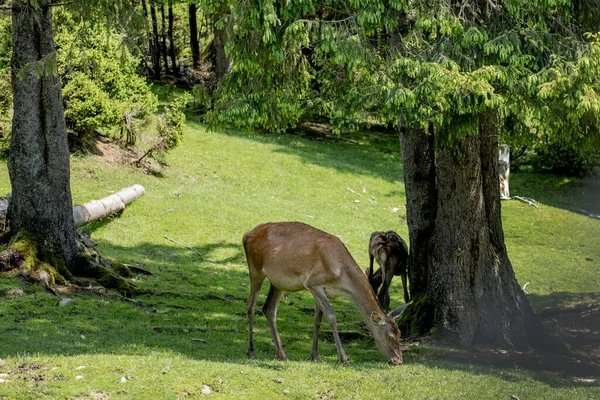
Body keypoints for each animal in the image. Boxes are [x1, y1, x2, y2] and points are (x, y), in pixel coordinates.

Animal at [244, 222, 404, 366]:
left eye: (400, 334)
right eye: (390, 337)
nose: (398, 361)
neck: (341, 276)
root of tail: (246, 235)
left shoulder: (320, 290)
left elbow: (317, 320)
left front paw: (314, 356)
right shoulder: (312, 282)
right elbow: (331, 316)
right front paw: (344, 357)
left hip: (277, 282)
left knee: (269, 309)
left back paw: (282, 355)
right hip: (255, 270)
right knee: (251, 305)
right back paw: (251, 351)